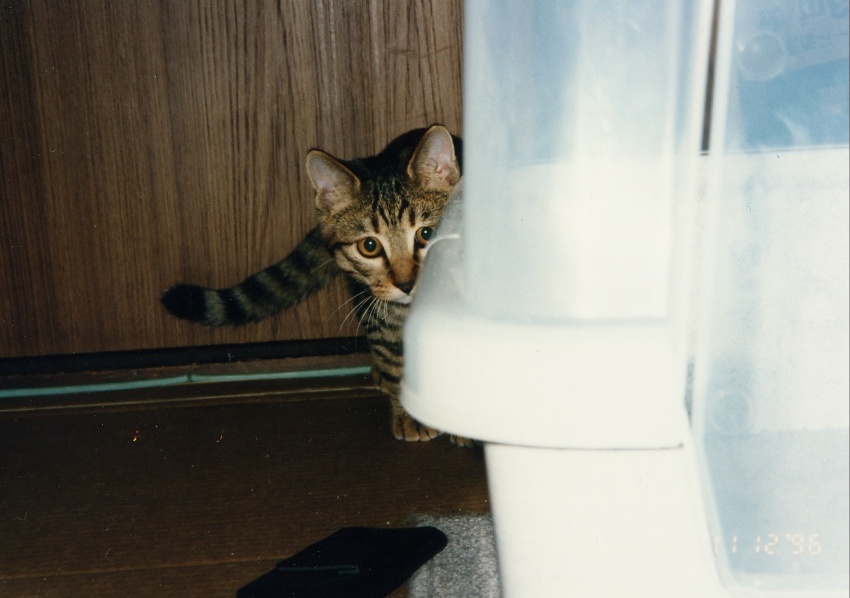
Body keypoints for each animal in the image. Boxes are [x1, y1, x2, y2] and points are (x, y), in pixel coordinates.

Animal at [161, 125, 463, 444]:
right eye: (369, 246)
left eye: (427, 234)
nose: (406, 283)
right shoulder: (380, 315)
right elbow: (396, 361)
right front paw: (409, 411)